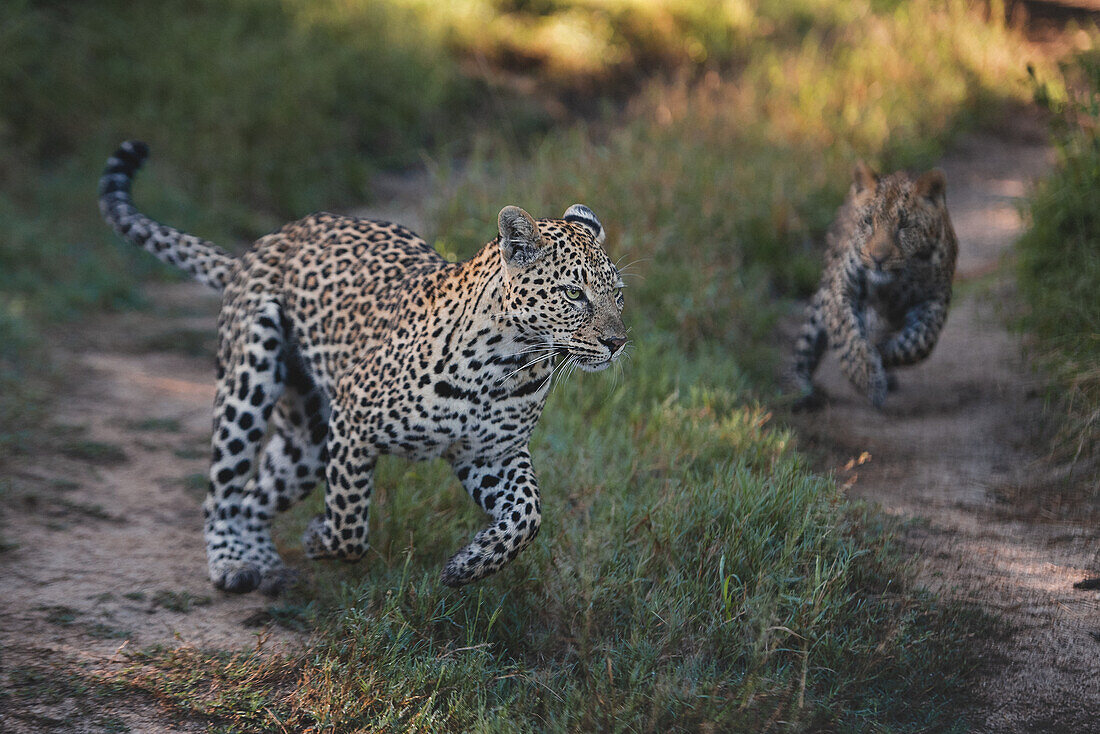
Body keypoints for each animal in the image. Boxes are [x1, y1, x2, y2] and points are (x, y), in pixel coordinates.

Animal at [99, 140, 633, 594]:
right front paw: (319, 538)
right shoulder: (354, 427)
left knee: (253, 497)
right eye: (573, 293)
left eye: (618, 295)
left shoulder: (492, 453)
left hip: (307, 439)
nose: (617, 342)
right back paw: (232, 563)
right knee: (222, 492)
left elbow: (528, 516)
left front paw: (469, 565)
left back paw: (266, 566)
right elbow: (349, 522)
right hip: (249, 383)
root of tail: (258, 247)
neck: (511, 363)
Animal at [792, 159, 954, 407]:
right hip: (821, 299)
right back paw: (801, 391)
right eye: (868, 221)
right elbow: (848, 337)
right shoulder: (841, 288)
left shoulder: (936, 298)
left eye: (904, 225)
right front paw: (866, 377)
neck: (896, 279)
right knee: (805, 346)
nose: (878, 258)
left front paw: (883, 353)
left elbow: (921, 342)